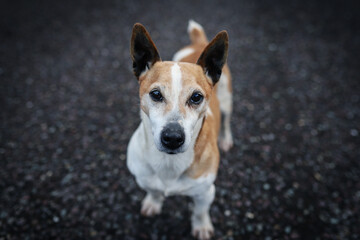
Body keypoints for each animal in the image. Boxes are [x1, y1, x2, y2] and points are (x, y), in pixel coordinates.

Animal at [126, 19, 233, 239]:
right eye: (156, 94)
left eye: (196, 97)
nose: (173, 138)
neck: (169, 163)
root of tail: (200, 43)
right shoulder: (143, 178)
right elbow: (154, 191)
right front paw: (154, 202)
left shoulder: (206, 192)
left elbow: (200, 211)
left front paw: (201, 227)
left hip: (227, 100)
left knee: (227, 120)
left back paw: (226, 139)